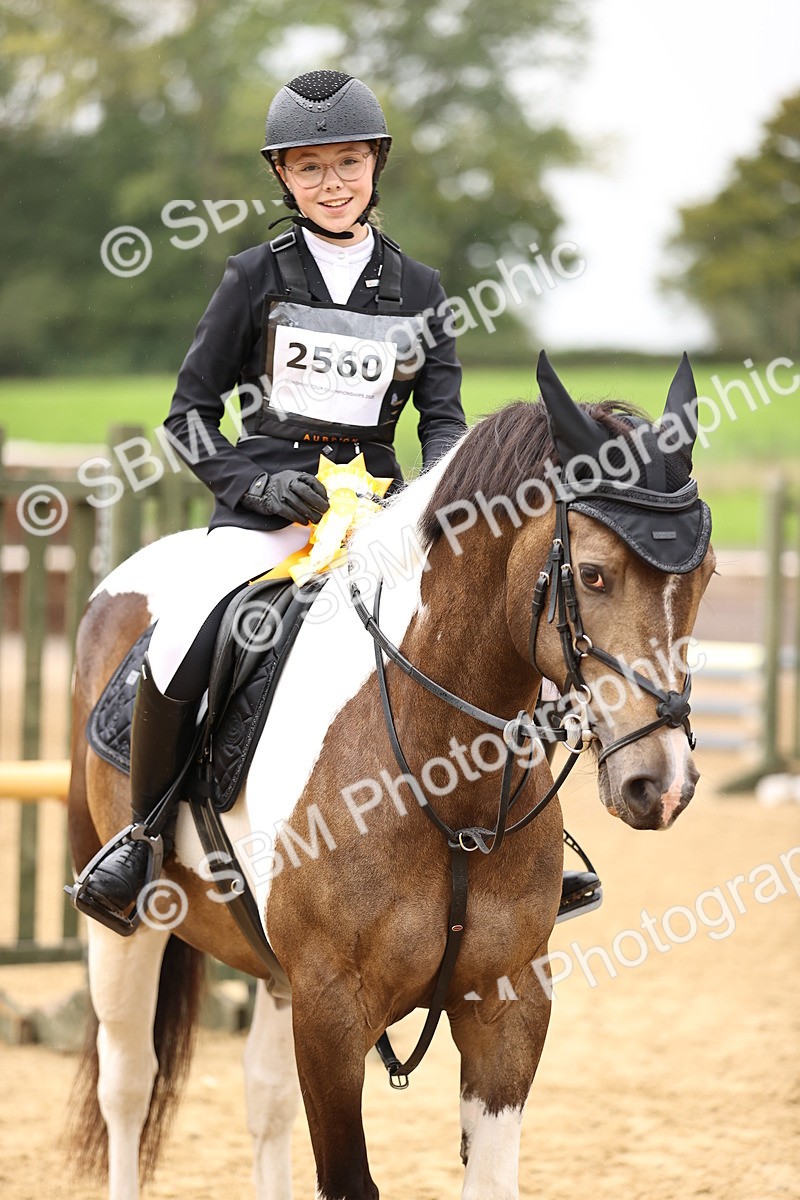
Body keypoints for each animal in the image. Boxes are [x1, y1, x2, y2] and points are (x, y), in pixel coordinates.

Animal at [65, 354, 715, 1200]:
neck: (445, 781)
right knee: (128, 1084)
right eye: (597, 577)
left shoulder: (509, 1002)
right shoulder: (331, 1013)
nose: (660, 783)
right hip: (128, 925)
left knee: (262, 1096)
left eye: (704, 576)